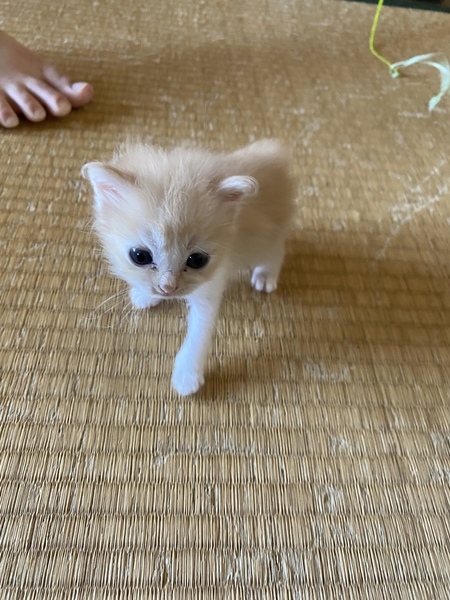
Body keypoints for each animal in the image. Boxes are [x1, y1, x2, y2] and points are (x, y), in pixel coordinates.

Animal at [82, 139, 296, 395]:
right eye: (140, 256)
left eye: (197, 260)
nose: (168, 288)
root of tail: (274, 155)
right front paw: (146, 295)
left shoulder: (212, 285)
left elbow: (198, 334)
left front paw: (187, 375)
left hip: (263, 240)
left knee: (277, 248)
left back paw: (265, 275)